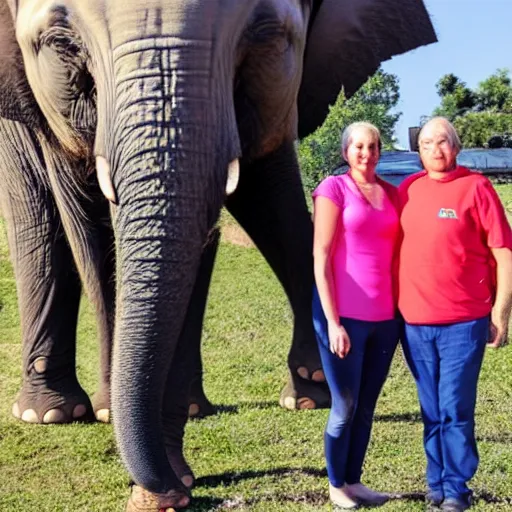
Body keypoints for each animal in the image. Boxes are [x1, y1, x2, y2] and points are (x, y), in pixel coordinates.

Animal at [0, 0, 438, 508]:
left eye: (268, 35)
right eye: (62, 44)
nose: (162, 489)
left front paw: (172, 481)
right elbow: (90, 224)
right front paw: (158, 476)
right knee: (36, 219)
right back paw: (53, 414)